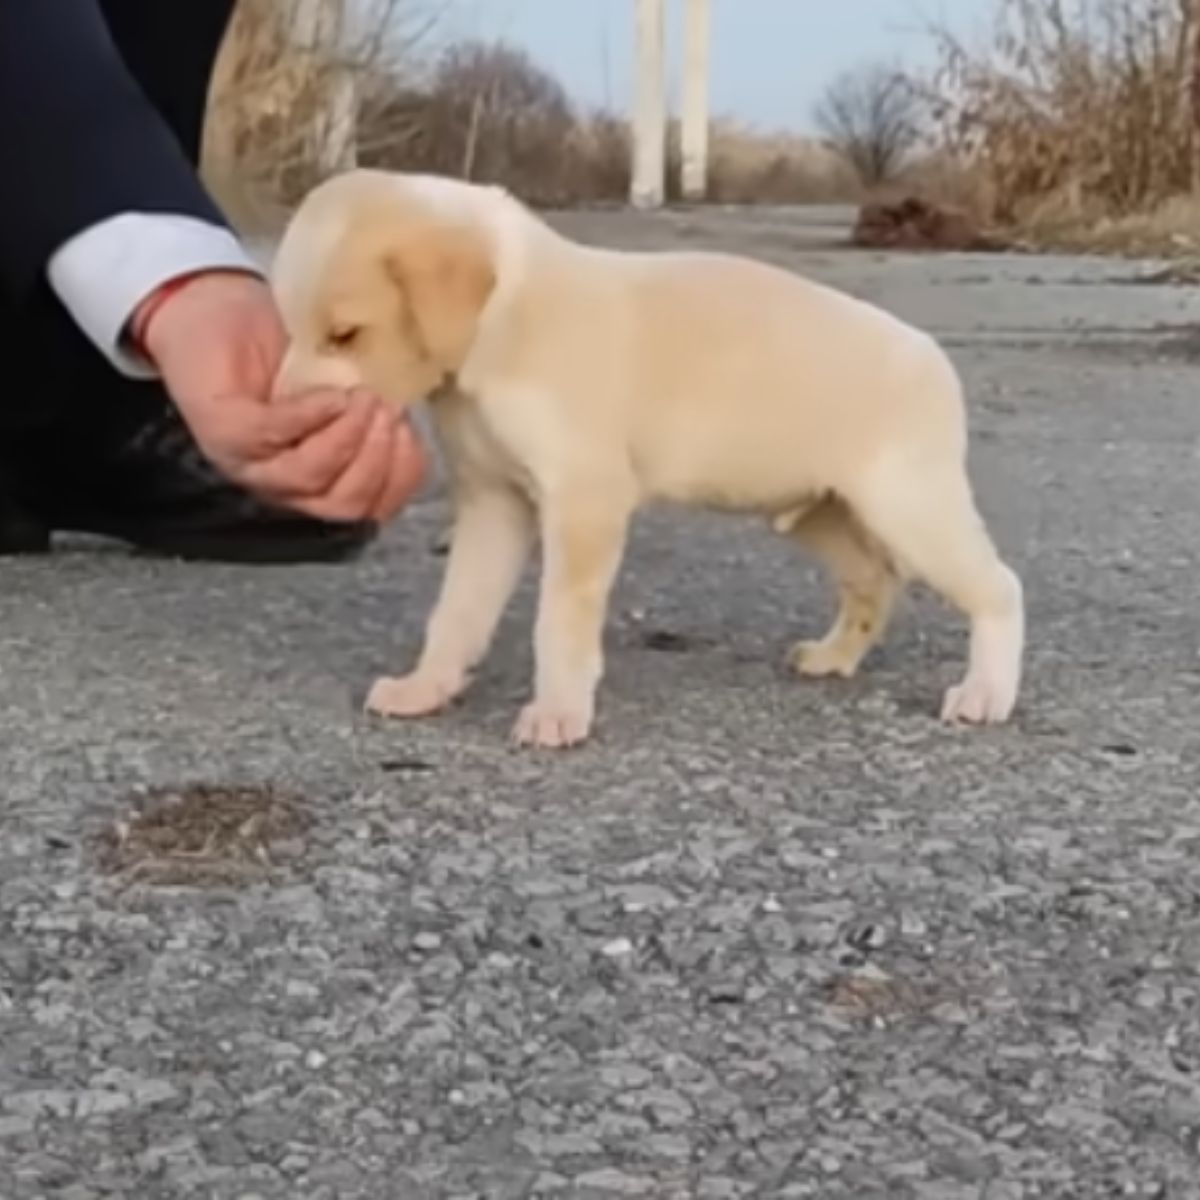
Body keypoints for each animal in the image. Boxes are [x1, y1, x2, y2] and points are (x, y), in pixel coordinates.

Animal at [272, 169, 1022, 748]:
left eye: (345, 334)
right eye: (292, 329)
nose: (283, 421)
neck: (503, 314)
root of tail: (930, 353)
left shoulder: (584, 501)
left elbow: (558, 622)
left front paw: (557, 714)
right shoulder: (493, 506)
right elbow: (457, 611)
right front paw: (426, 687)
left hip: (910, 505)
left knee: (998, 588)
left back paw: (985, 692)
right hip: (821, 511)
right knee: (874, 579)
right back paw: (835, 656)